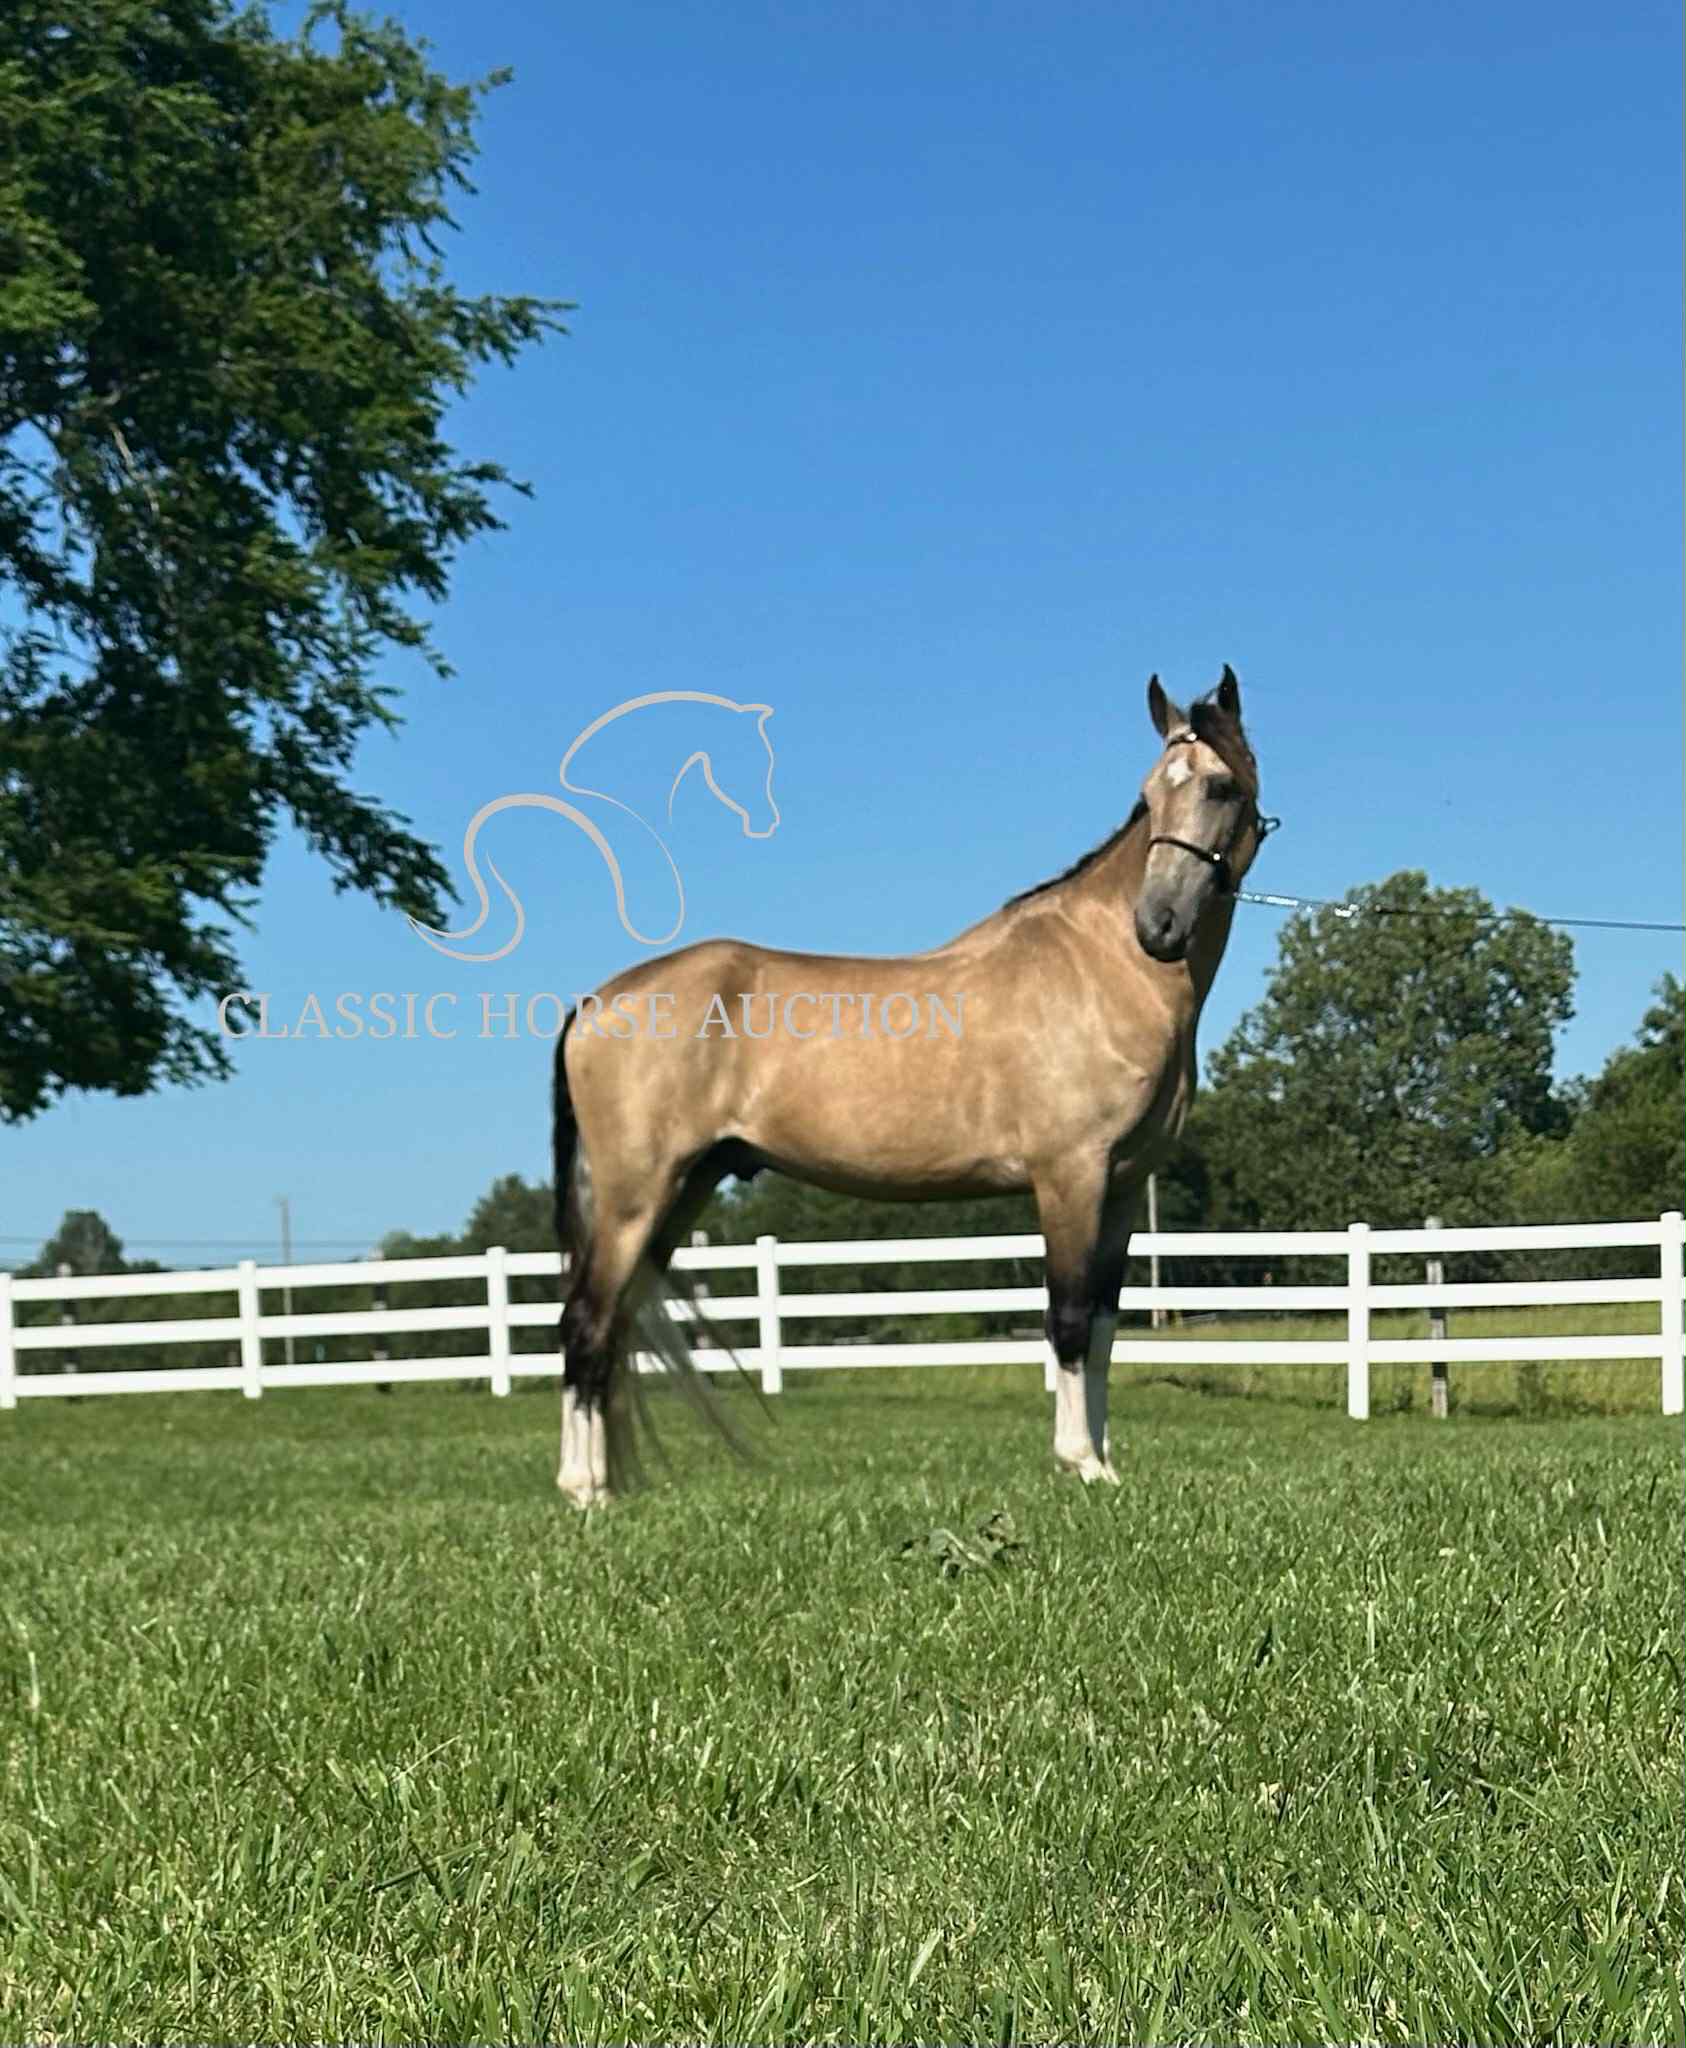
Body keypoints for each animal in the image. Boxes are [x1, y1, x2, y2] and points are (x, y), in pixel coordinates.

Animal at [551, 665, 1272, 1506]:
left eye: (1220, 787)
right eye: (1152, 793)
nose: (1156, 927)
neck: (1101, 967)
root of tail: (598, 1002)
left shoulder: (1124, 1188)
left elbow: (1100, 1328)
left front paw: (1105, 1461)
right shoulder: (1070, 1177)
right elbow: (1064, 1319)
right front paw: (1079, 1462)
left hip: (681, 1190)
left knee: (611, 1325)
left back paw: (600, 1483)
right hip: (635, 1197)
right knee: (587, 1321)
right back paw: (583, 1490)